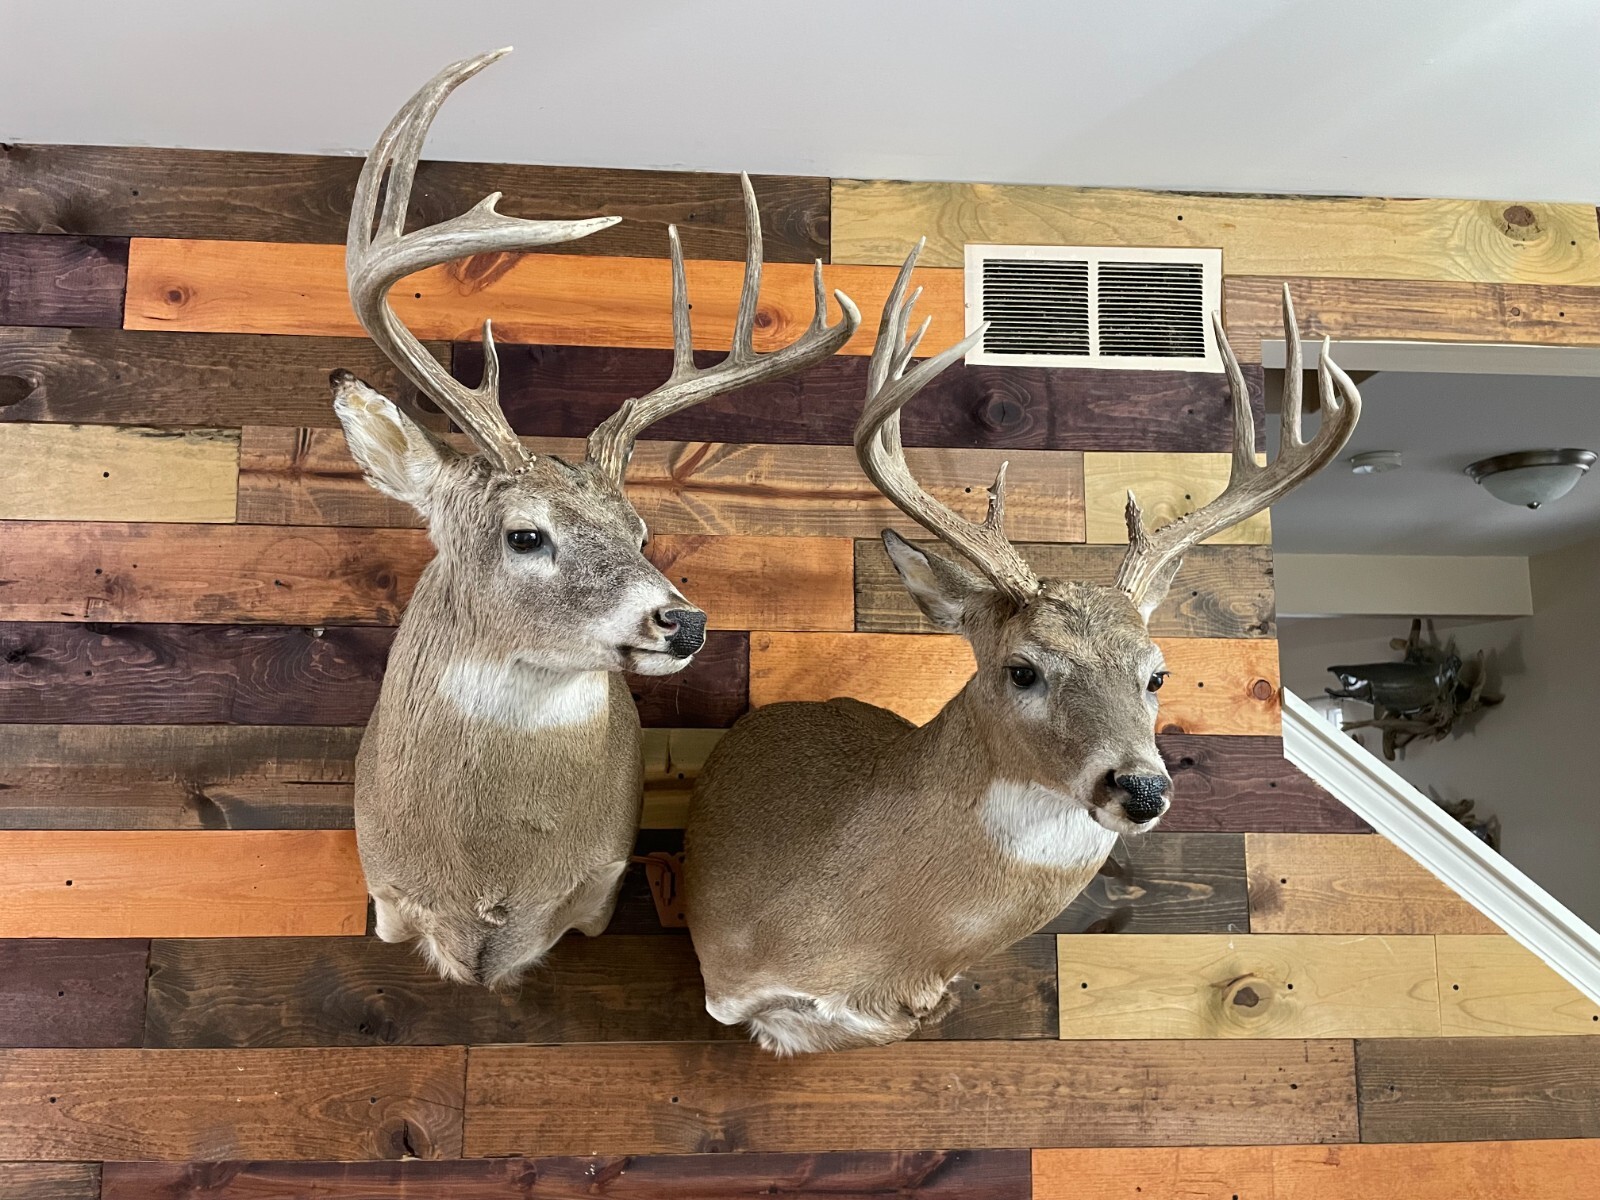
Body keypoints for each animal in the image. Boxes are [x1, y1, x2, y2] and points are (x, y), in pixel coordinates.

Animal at [330, 49, 860, 987]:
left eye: (641, 533)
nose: (683, 621)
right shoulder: (386, 893)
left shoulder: (604, 887)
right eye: (525, 533)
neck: (489, 886)